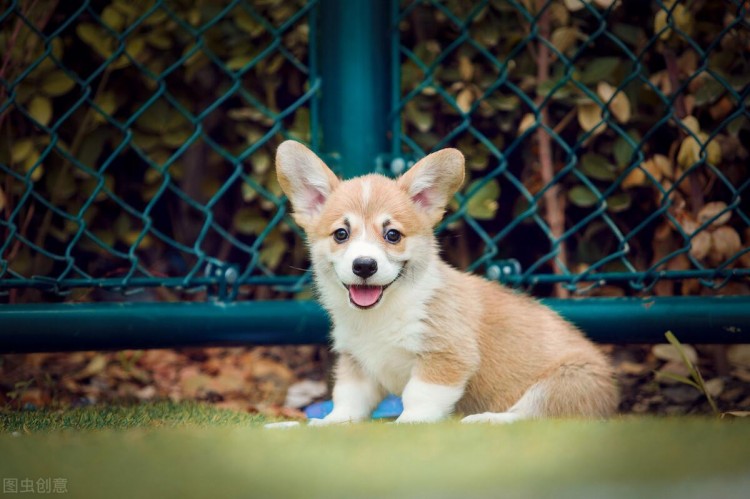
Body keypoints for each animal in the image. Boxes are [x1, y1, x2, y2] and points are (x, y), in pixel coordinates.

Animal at [280, 141, 620, 426]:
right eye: (341, 234)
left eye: (393, 235)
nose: (364, 265)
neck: (384, 311)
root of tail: (612, 395)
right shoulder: (357, 365)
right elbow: (347, 403)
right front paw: (321, 424)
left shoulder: (446, 356)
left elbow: (419, 397)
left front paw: (406, 425)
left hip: (567, 381)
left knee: (533, 415)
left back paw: (485, 420)